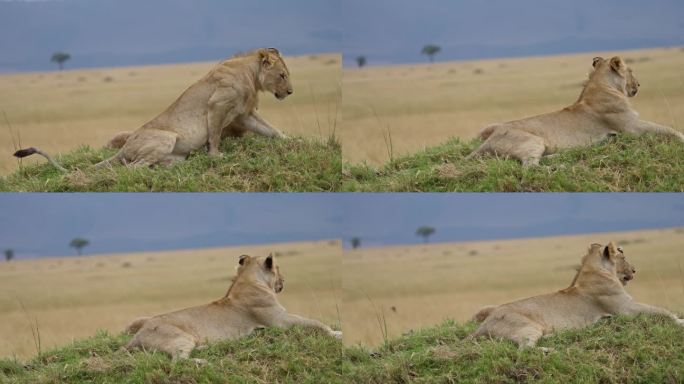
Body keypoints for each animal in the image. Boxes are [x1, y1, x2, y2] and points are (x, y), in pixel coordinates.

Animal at [13, 47, 292, 170]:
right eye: (282, 75)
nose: (290, 92)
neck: (252, 75)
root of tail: (125, 147)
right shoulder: (217, 105)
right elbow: (214, 135)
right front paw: (215, 156)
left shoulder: (244, 114)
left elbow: (271, 130)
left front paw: (289, 139)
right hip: (166, 137)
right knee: (131, 167)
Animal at [123, 254, 342, 362]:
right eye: (277, 268)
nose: (284, 280)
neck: (249, 280)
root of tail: (137, 336)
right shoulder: (280, 320)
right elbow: (315, 322)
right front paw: (336, 333)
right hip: (180, 338)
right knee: (177, 362)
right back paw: (203, 361)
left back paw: (206, 348)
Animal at [464, 56, 684, 166]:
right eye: (630, 71)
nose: (638, 84)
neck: (602, 85)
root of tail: (487, 141)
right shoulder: (632, 127)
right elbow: (667, 129)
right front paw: (681, 137)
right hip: (532, 140)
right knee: (529, 167)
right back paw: (560, 164)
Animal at [470, 242, 684, 350]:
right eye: (623, 257)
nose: (634, 270)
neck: (599, 272)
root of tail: (484, 324)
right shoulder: (626, 309)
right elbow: (662, 311)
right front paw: (679, 321)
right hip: (528, 326)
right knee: (524, 351)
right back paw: (549, 350)